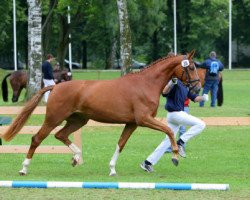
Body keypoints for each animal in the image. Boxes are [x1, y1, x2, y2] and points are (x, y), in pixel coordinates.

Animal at [1, 50, 201, 176]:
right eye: (191, 67)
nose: (197, 89)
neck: (146, 83)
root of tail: (55, 87)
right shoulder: (144, 119)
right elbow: (168, 132)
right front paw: (175, 156)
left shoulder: (132, 123)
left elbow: (121, 144)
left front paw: (112, 169)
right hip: (53, 118)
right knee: (37, 138)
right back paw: (24, 168)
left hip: (78, 120)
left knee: (61, 135)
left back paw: (76, 158)